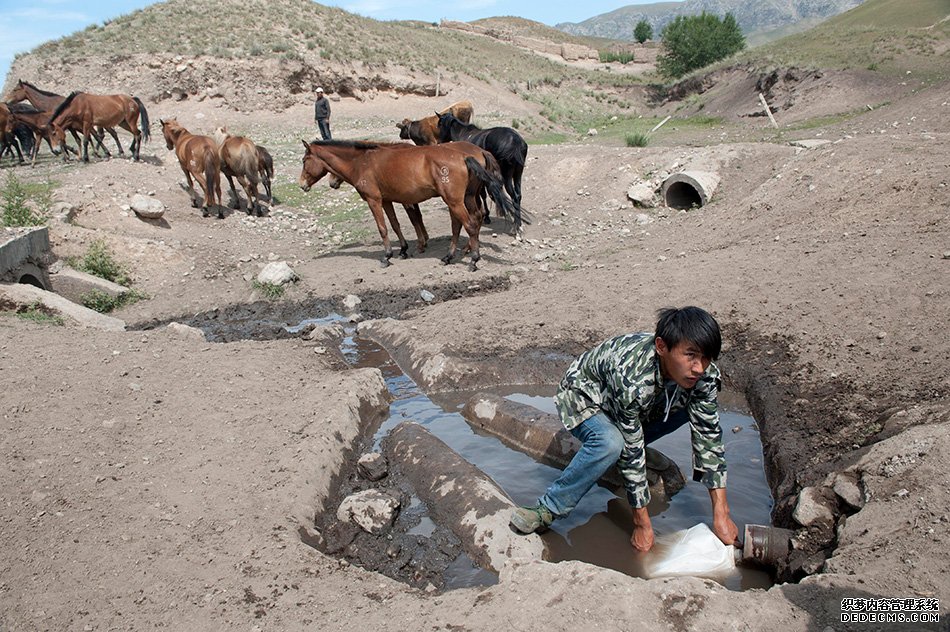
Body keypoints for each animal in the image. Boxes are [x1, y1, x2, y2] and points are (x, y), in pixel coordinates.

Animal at [300, 141, 516, 270]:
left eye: (304, 160)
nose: (302, 184)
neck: (362, 162)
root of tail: (466, 156)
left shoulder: (374, 200)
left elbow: (383, 228)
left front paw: (387, 256)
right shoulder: (387, 200)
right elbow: (395, 225)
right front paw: (403, 249)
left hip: (455, 201)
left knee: (469, 225)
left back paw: (472, 259)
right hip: (465, 198)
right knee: (467, 222)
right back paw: (450, 256)